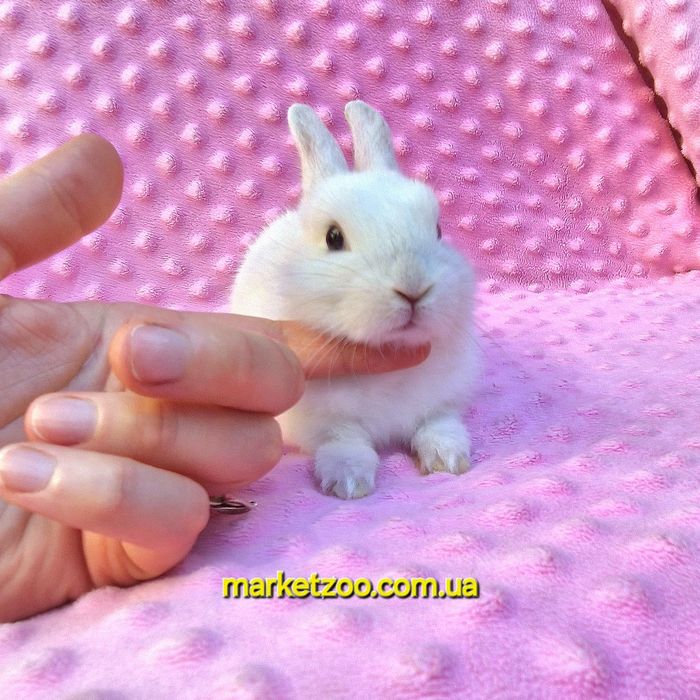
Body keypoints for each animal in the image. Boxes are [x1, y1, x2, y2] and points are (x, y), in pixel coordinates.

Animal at [229, 100, 478, 499]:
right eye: (333, 237)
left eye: (438, 230)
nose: (413, 286)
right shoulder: (326, 421)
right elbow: (346, 443)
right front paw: (348, 483)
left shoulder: (442, 400)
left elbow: (438, 425)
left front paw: (448, 460)